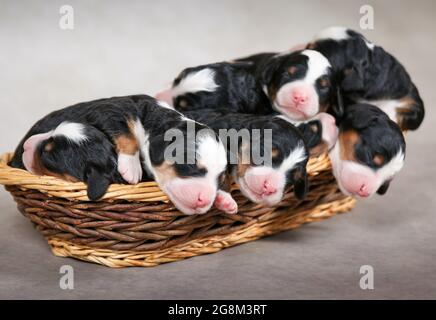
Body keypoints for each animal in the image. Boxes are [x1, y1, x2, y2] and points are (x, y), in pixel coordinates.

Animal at [9, 95, 235, 215]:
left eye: (220, 178)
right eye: (188, 166)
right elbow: (126, 134)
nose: (204, 200)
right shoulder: (112, 111)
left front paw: (225, 199)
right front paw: (130, 167)